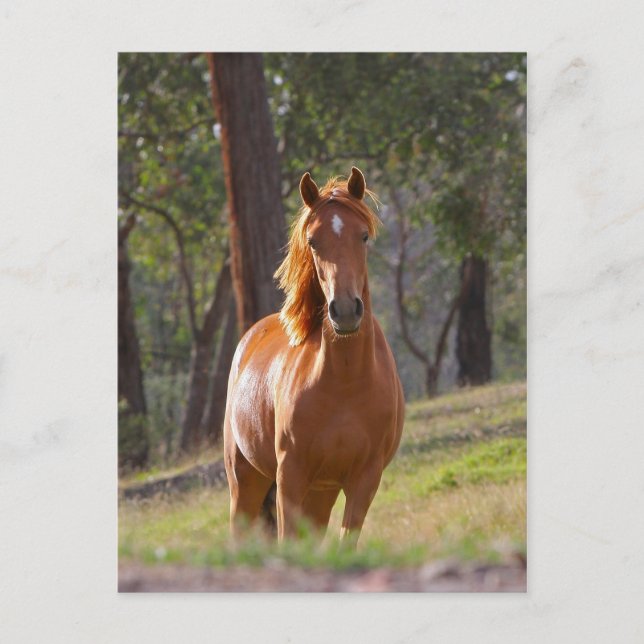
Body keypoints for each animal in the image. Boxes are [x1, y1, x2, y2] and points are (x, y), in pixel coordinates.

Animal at [223, 166, 404, 546]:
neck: (346, 382)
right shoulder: (290, 475)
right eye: (313, 241)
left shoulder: (364, 480)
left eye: (363, 236)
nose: (345, 310)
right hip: (245, 481)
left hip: (322, 493)